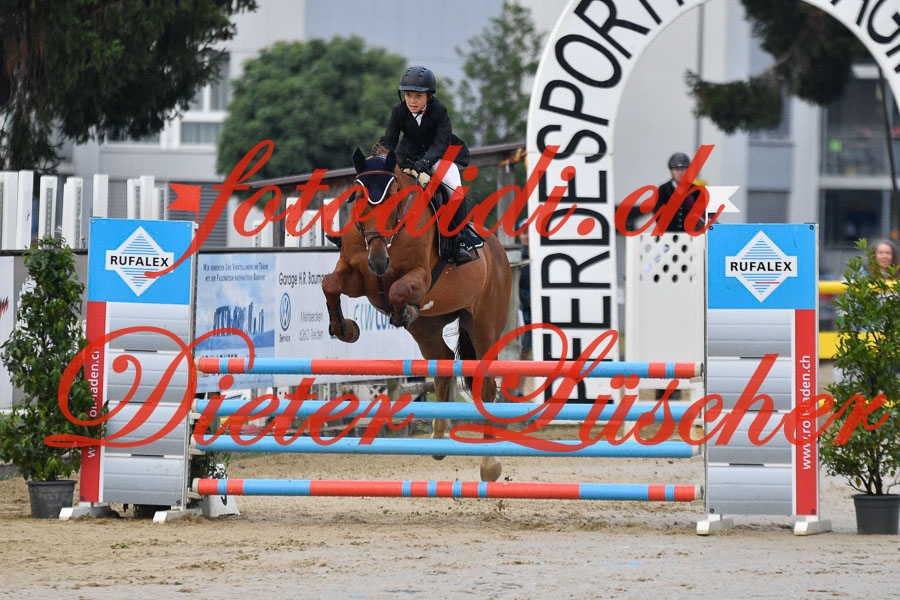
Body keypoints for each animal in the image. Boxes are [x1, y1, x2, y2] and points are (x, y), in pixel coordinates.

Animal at [321, 147, 512, 482]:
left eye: (393, 195)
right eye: (358, 195)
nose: (379, 262)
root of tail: (499, 250)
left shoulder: (420, 277)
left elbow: (398, 289)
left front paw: (401, 309)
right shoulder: (357, 277)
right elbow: (330, 283)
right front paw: (344, 328)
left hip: (485, 324)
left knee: (486, 382)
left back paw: (490, 463)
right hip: (427, 330)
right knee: (444, 361)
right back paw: (438, 439)